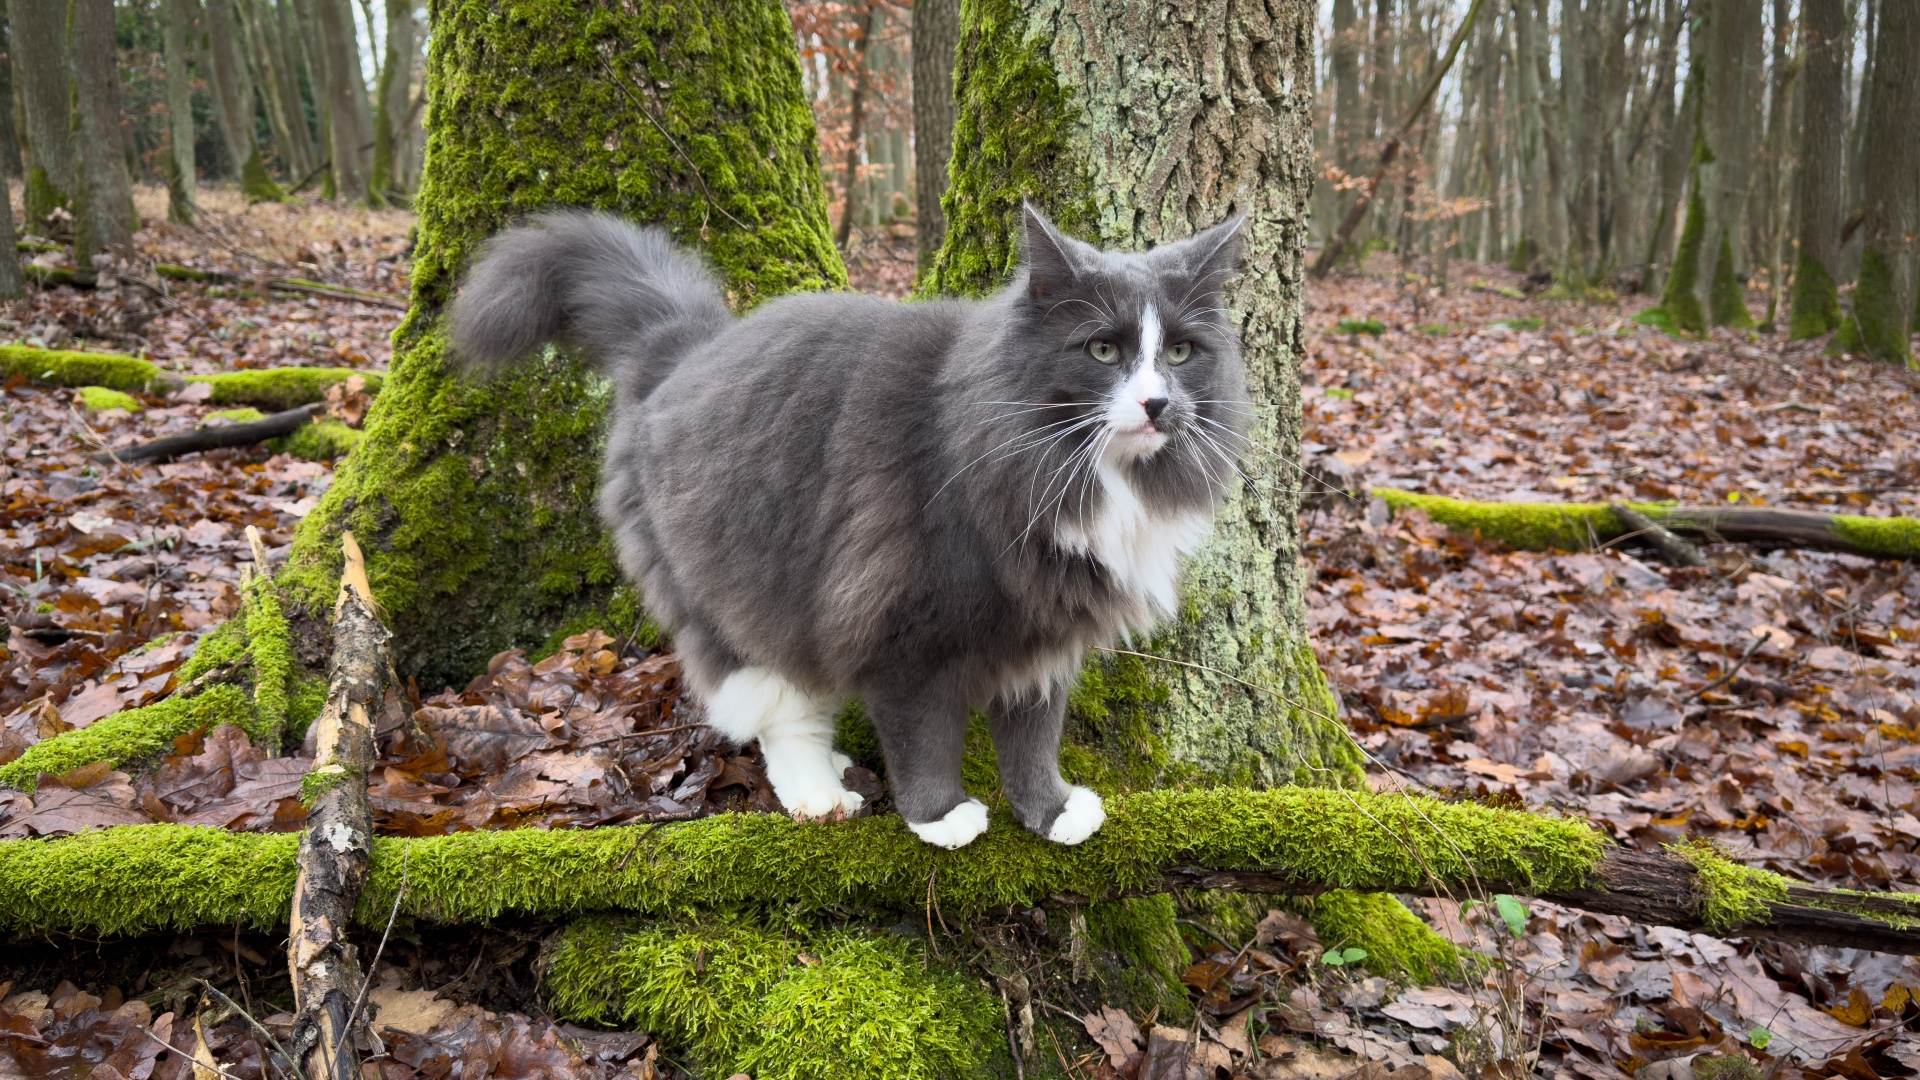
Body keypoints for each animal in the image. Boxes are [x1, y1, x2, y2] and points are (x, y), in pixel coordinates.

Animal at [455, 205, 1251, 845]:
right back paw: (821, 793)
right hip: (740, 588)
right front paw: (941, 817)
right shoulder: (904, 624)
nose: (1156, 403)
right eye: (1102, 350)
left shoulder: (1041, 627)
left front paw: (1050, 813)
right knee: (777, 710)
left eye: (1180, 353)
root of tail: (682, 350)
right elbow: (922, 734)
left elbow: (1032, 735)